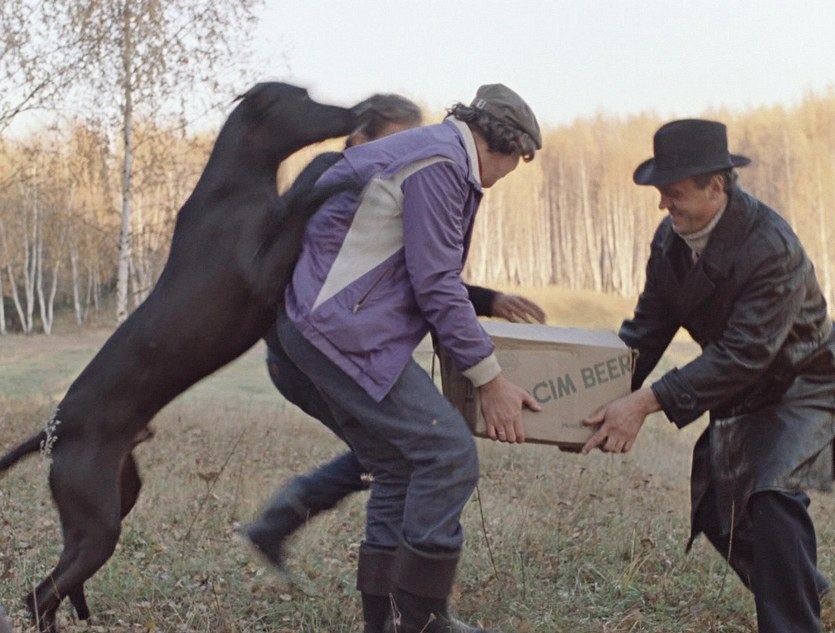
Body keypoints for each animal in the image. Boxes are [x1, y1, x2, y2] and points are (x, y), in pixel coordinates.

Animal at [0, 82, 367, 632]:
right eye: (303, 99)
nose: (358, 112)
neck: (239, 182)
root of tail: (53, 431)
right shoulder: (261, 273)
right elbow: (303, 193)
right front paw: (333, 161)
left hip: (109, 504)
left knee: (61, 578)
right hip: (98, 517)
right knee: (40, 595)